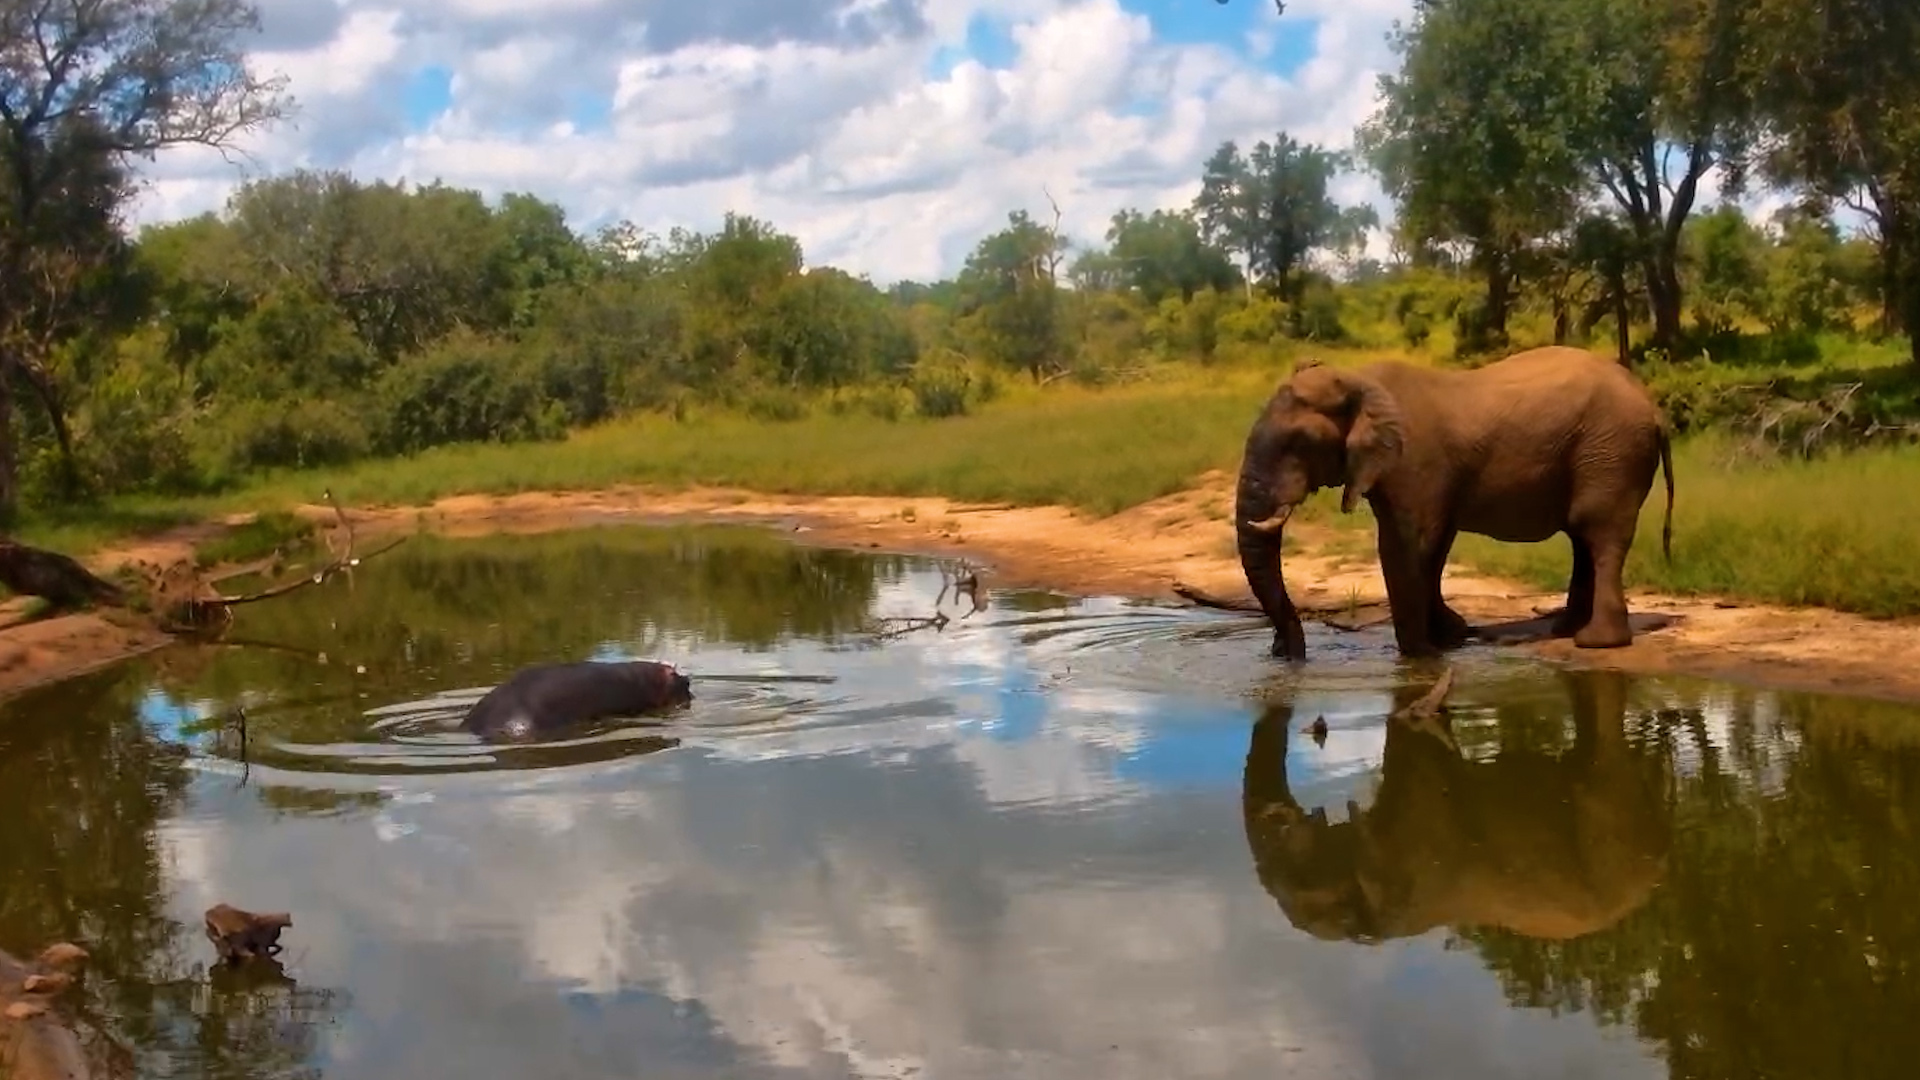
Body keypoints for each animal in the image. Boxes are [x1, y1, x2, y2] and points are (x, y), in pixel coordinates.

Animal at [1234, 345, 1675, 660]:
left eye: (1299, 442)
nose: (1282, 653)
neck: (1360, 379)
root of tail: (1655, 408)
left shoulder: (1412, 462)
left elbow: (1407, 544)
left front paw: (1420, 656)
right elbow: (1435, 545)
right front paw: (1450, 638)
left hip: (1612, 453)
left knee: (1597, 530)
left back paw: (1596, 642)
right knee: (1582, 536)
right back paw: (1565, 630)